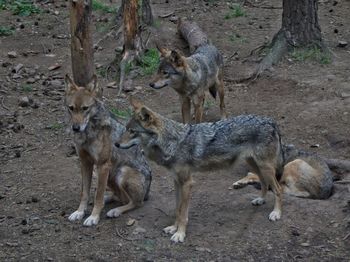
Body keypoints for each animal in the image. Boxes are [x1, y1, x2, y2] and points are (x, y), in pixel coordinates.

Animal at [64, 74, 152, 226]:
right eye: (71, 108)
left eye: (85, 108)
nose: (75, 128)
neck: (88, 132)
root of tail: (147, 191)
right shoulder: (85, 163)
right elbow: (84, 193)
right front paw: (80, 212)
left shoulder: (103, 165)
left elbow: (98, 195)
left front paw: (94, 217)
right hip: (111, 176)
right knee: (120, 197)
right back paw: (108, 200)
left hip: (121, 172)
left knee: (135, 202)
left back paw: (115, 211)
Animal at [116, 99, 286, 244]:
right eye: (126, 129)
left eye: (132, 131)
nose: (116, 144)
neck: (172, 143)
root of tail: (271, 121)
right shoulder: (177, 181)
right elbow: (177, 209)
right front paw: (173, 228)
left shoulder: (187, 183)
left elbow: (183, 213)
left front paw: (180, 234)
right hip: (256, 165)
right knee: (263, 182)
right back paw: (260, 200)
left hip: (265, 167)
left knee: (278, 189)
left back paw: (276, 213)